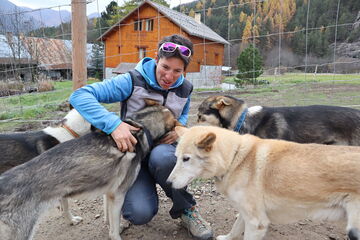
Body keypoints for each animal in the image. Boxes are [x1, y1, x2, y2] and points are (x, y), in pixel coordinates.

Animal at [169, 125, 360, 240]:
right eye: (176, 157)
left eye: (186, 159)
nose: (168, 183)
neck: (236, 158)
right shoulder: (246, 213)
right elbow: (236, 228)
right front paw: (227, 238)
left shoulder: (257, 223)